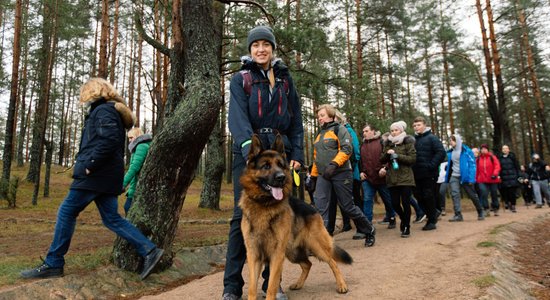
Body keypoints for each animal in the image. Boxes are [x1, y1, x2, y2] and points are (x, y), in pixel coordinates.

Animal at [240, 134, 354, 300]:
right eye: (266, 166)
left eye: (280, 165)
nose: (281, 177)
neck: (264, 205)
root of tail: (313, 208)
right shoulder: (253, 255)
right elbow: (252, 289)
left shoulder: (276, 255)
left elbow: (271, 286)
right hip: (292, 252)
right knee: (308, 264)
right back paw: (299, 284)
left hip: (316, 247)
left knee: (332, 262)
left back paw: (342, 285)